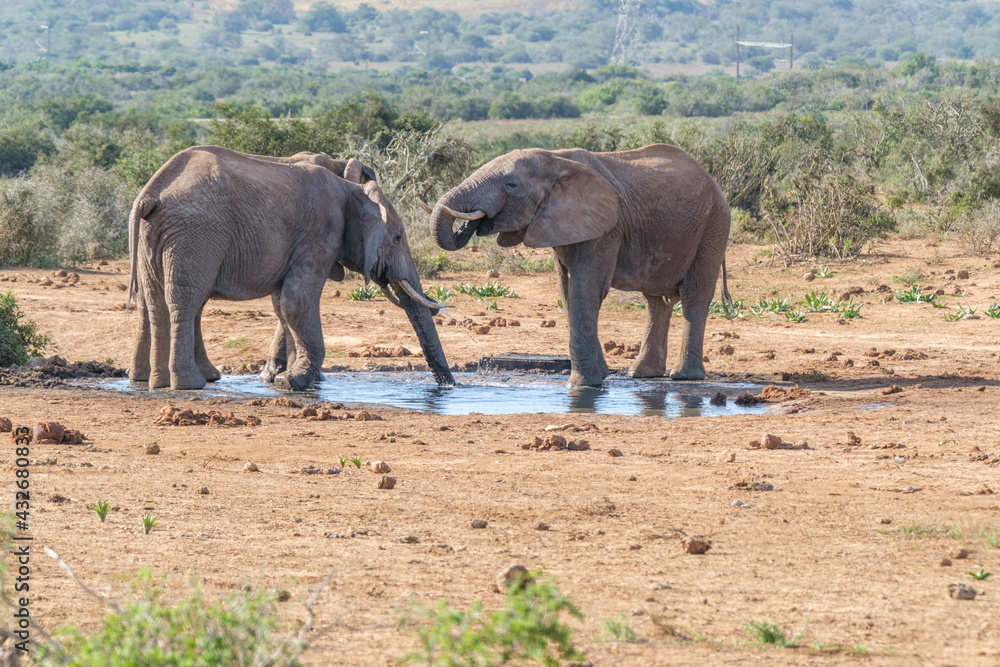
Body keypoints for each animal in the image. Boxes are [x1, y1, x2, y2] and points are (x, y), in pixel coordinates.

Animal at [129, 144, 454, 388]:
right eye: (397, 238)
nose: (447, 385)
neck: (349, 186)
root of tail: (150, 192)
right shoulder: (321, 230)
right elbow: (296, 301)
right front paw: (296, 380)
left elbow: (282, 303)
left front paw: (284, 377)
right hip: (195, 235)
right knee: (185, 300)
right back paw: (191, 383)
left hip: (156, 235)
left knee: (156, 302)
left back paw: (156, 382)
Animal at [426, 144, 732, 388]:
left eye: (511, 185)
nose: (473, 222)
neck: (554, 158)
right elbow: (567, 291)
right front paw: (601, 376)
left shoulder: (606, 228)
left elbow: (586, 289)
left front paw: (582, 385)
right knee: (656, 301)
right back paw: (641, 374)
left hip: (714, 225)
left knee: (695, 294)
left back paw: (684, 377)